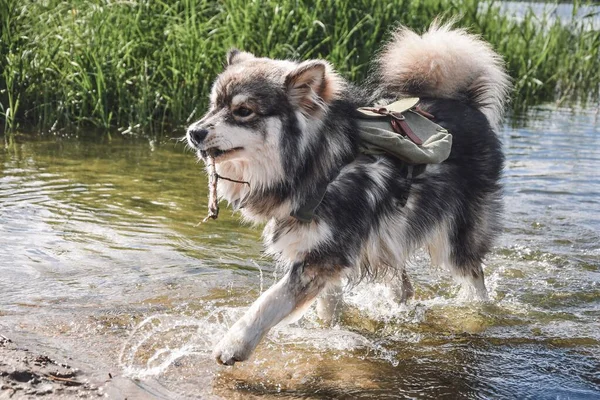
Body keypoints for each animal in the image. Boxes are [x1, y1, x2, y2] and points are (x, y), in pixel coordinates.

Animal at [185, 21, 508, 366]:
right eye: (213, 105)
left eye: (243, 110)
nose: (194, 132)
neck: (317, 162)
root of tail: (467, 105)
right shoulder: (321, 251)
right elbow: (327, 308)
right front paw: (328, 333)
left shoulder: (321, 257)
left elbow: (269, 300)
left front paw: (233, 343)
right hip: (389, 237)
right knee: (403, 288)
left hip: (456, 241)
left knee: (474, 278)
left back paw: (478, 312)